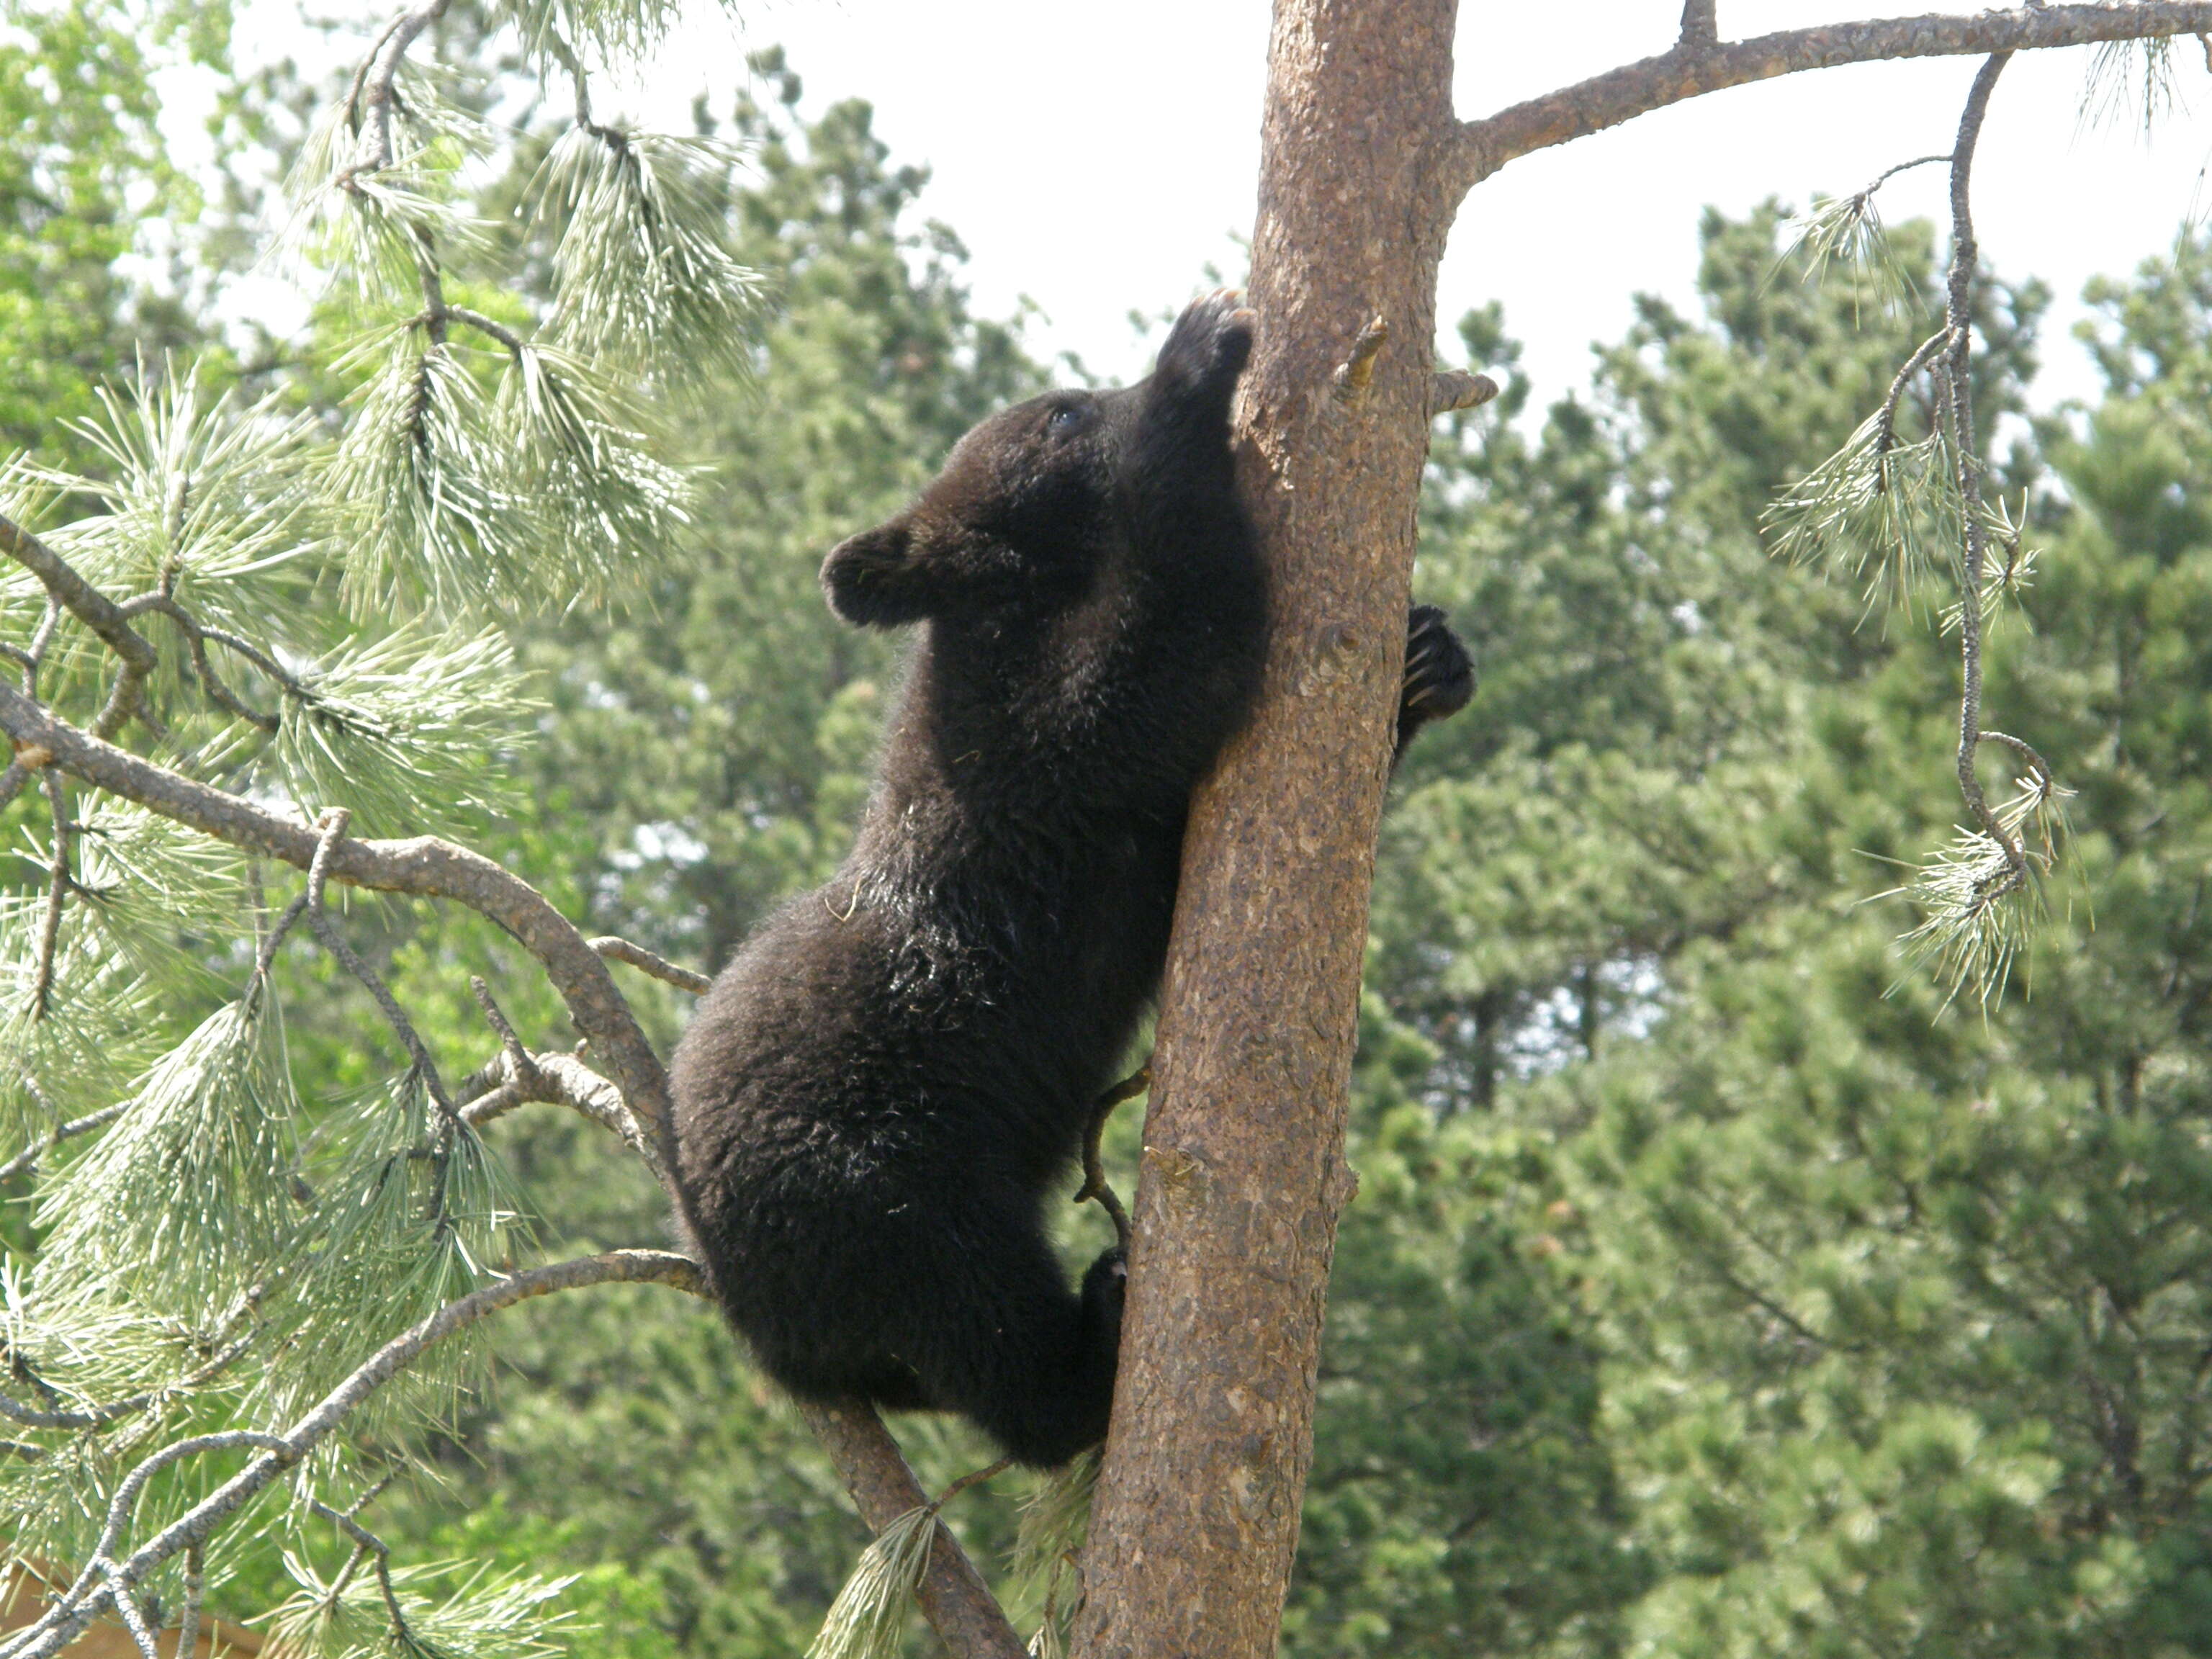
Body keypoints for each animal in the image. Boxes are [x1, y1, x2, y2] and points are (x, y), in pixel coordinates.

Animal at [672, 296, 1468, 1468]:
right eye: (1060, 412)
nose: (1106, 387)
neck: (1027, 597)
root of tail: (761, 1333)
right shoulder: (1019, 754)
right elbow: (1153, 668)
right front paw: (1193, 364)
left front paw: (1428, 660)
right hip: (880, 1182)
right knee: (980, 1313)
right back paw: (1096, 1334)